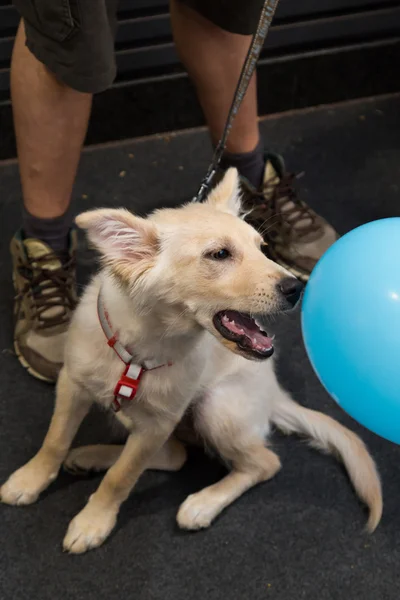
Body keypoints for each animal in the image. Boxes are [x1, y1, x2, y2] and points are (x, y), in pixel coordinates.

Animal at [0, 169, 382, 552]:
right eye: (219, 254)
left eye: (262, 248)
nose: (296, 289)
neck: (141, 349)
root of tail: (274, 394)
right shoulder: (73, 384)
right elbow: (55, 440)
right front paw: (31, 479)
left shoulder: (158, 423)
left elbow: (122, 477)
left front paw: (94, 520)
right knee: (175, 456)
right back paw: (89, 456)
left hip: (213, 409)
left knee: (263, 463)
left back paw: (202, 503)